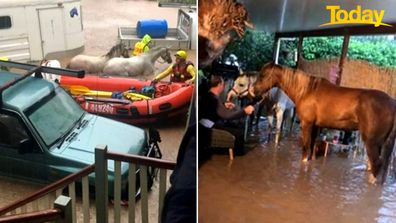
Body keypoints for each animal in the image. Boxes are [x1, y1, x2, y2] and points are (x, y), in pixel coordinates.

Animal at [254, 61, 396, 184]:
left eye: (263, 75)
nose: (253, 91)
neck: (306, 90)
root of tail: (392, 103)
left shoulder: (306, 124)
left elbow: (305, 148)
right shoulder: (315, 126)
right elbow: (312, 148)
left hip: (372, 142)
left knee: (376, 164)